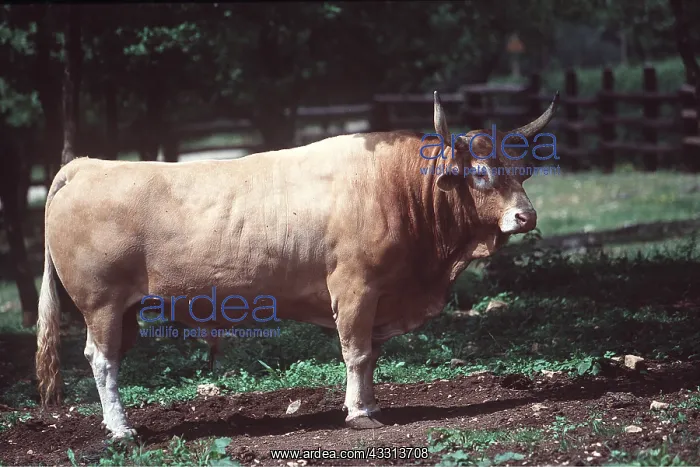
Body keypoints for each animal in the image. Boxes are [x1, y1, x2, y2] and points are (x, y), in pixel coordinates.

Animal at [36, 91, 559, 440]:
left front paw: (371, 404)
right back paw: (122, 430)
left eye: (522, 172)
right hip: (100, 303)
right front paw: (359, 414)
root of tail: (84, 165)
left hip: (125, 309)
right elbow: (357, 352)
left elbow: (371, 356)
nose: (526, 216)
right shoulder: (354, 288)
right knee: (102, 361)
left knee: (112, 359)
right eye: (481, 175)